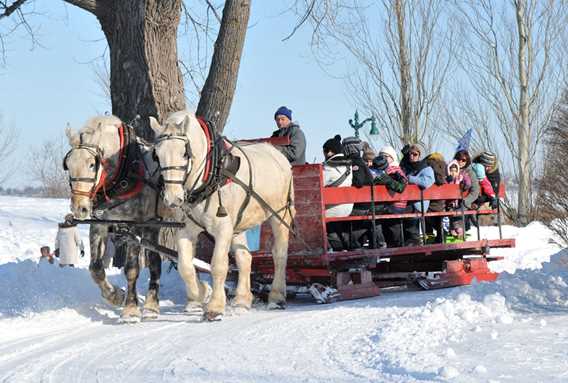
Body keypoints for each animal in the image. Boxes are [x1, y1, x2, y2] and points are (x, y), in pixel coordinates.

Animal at [149, 110, 296, 320]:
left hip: (280, 215)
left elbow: (218, 264)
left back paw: (277, 297)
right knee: (244, 257)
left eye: (184, 153)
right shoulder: (186, 230)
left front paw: (215, 306)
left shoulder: (223, 228)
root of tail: (277, 154)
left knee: (280, 254)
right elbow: (186, 266)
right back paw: (242, 300)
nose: (172, 199)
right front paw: (202, 293)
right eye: (157, 155)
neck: (210, 173)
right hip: (239, 224)